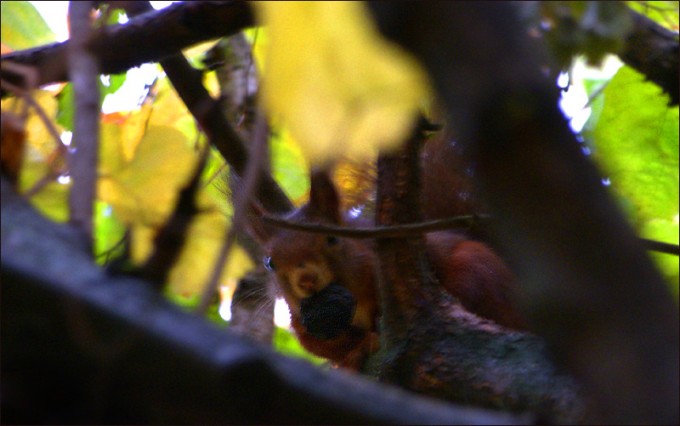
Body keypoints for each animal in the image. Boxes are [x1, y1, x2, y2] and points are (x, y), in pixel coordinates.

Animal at [247, 130, 526, 370]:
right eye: (269, 262)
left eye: (332, 239)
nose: (306, 279)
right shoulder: (301, 320)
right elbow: (325, 345)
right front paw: (353, 354)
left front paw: (372, 339)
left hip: (477, 269)